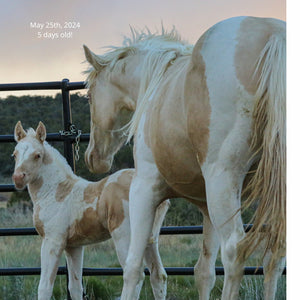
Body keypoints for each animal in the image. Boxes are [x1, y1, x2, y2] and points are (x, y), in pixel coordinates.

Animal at [11, 121, 170, 300]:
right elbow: (75, 287)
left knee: (135, 275)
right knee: (159, 276)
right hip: (150, 238)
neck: (57, 192)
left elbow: (44, 287)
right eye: (15, 154)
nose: (18, 178)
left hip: (124, 235)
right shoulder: (73, 246)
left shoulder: (53, 240)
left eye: (37, 155)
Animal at [83, 17, 284, 300]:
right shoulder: (207, 208)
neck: (156, 83)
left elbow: (133, 268)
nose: (93, 157)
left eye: (89, 96)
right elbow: (204, 272)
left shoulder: (144, 189)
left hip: (223, 181)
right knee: (275, 255)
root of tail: (272, 34)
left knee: (234, 251)